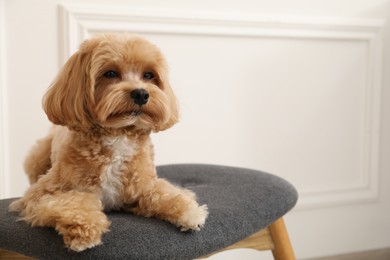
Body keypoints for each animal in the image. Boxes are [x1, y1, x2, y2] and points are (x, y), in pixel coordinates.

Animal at [8, 34, 207, 252]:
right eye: (110, 73)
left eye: (148, 75)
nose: (141, 94)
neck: (118, 135)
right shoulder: (40, 194)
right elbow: (74, 200)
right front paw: (84, 229)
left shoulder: (143, 186)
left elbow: (164, 193)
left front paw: (189, 211)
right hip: (36, 158)